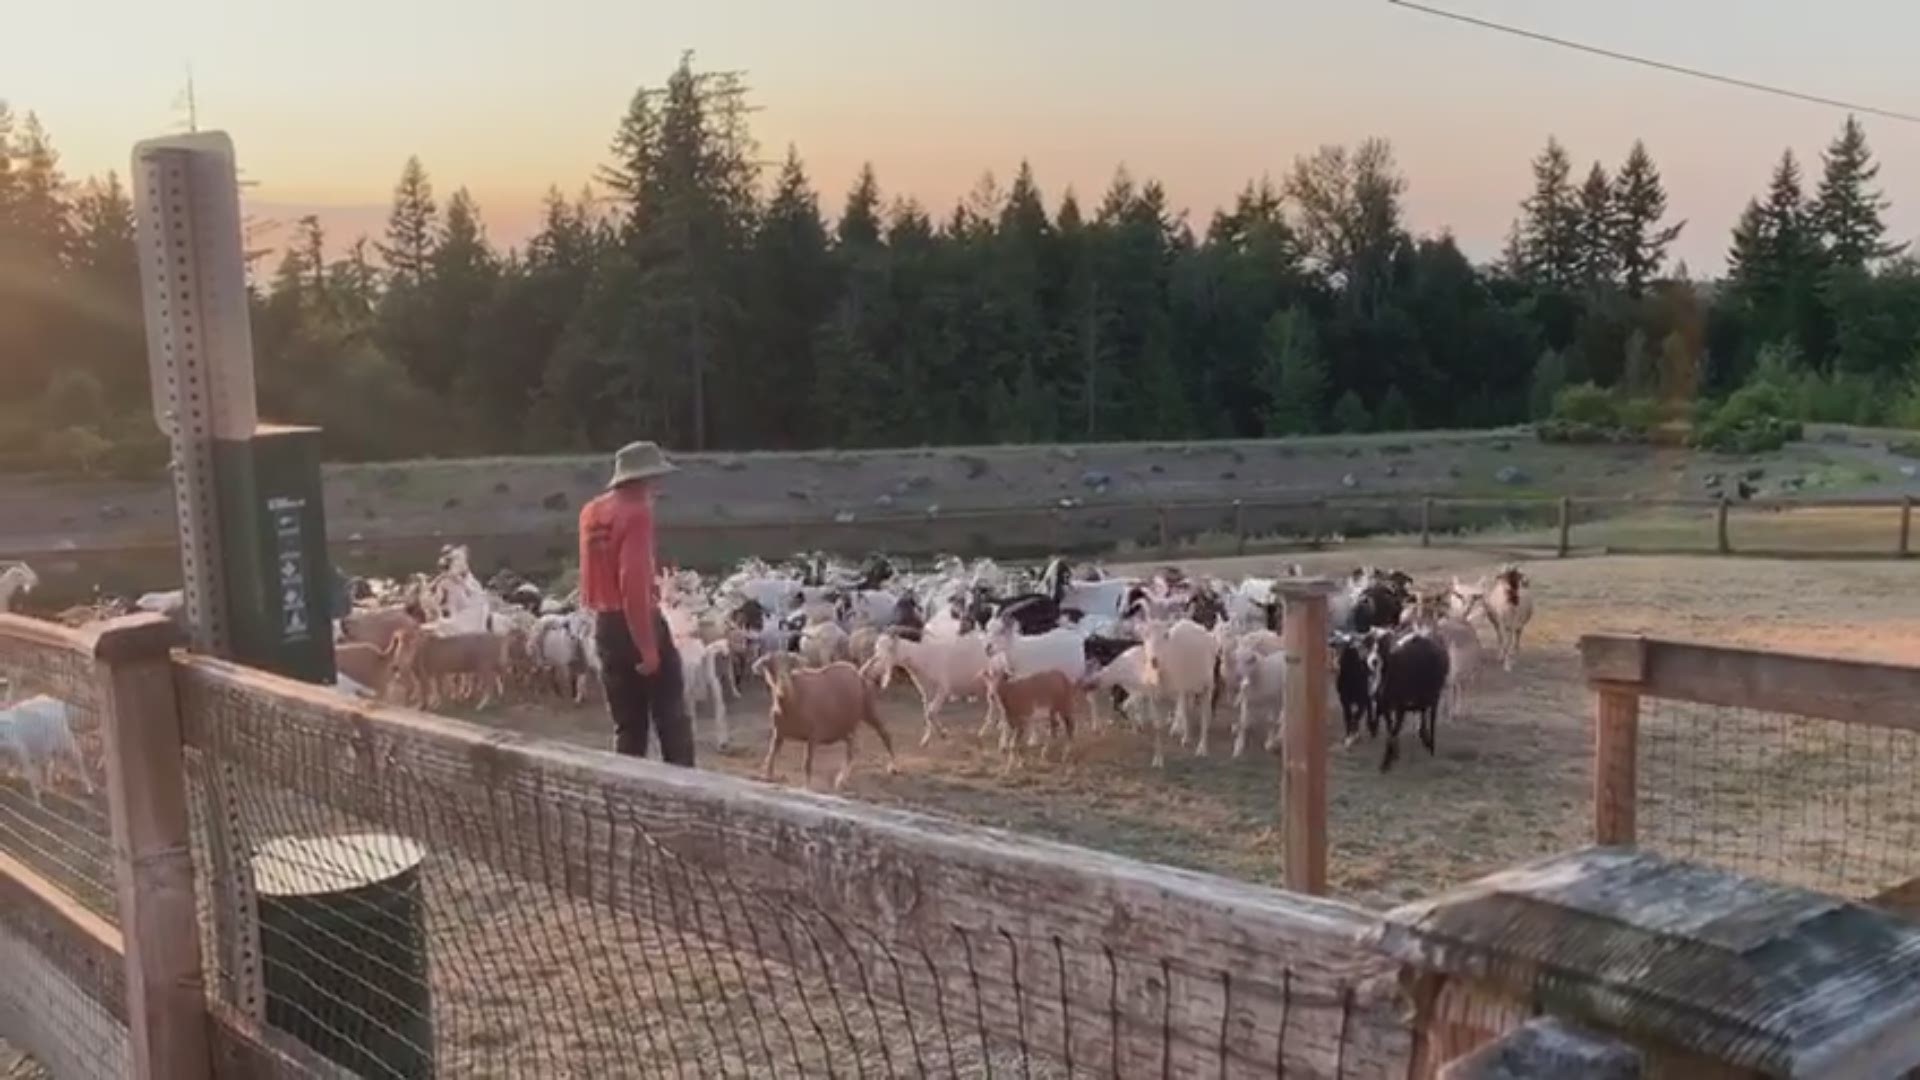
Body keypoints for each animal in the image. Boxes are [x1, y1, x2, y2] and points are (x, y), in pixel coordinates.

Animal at [752, 653, 894, 787]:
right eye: (770, 666)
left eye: (790, 665)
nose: (784, 686)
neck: (794, 698)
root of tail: (859, 674)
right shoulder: (778, 733)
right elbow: (771, 757)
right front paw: (767, 777)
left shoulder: (813, 734)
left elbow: (807, 763)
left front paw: (807, 786)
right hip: (844, 725)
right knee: (852, 748)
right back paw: (842, 779)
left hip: (869, 710)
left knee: (885, 735)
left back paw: (892, 767)